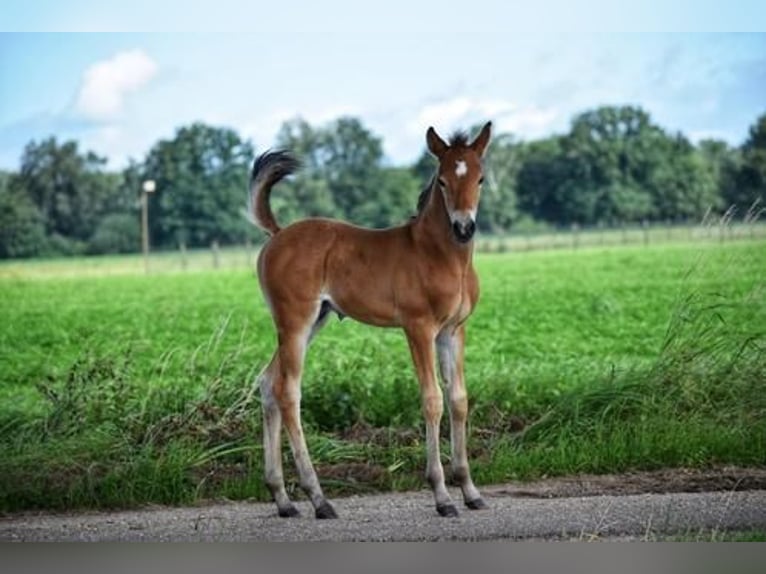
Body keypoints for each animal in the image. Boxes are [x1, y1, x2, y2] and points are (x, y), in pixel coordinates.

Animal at [249, 122, 496, 520]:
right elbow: (433, 400)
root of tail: (278, 233)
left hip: (312, 322)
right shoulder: (418, 328)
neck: (440, 256)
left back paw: (283, 499)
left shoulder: (453, 332)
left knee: (268, 382)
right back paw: (318, 498)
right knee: (287, 391)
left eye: (480, 179)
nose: (464, 228)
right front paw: (442, 496)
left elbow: (458, 399)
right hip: (296, 322)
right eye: (442, 181)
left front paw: (470, 491)